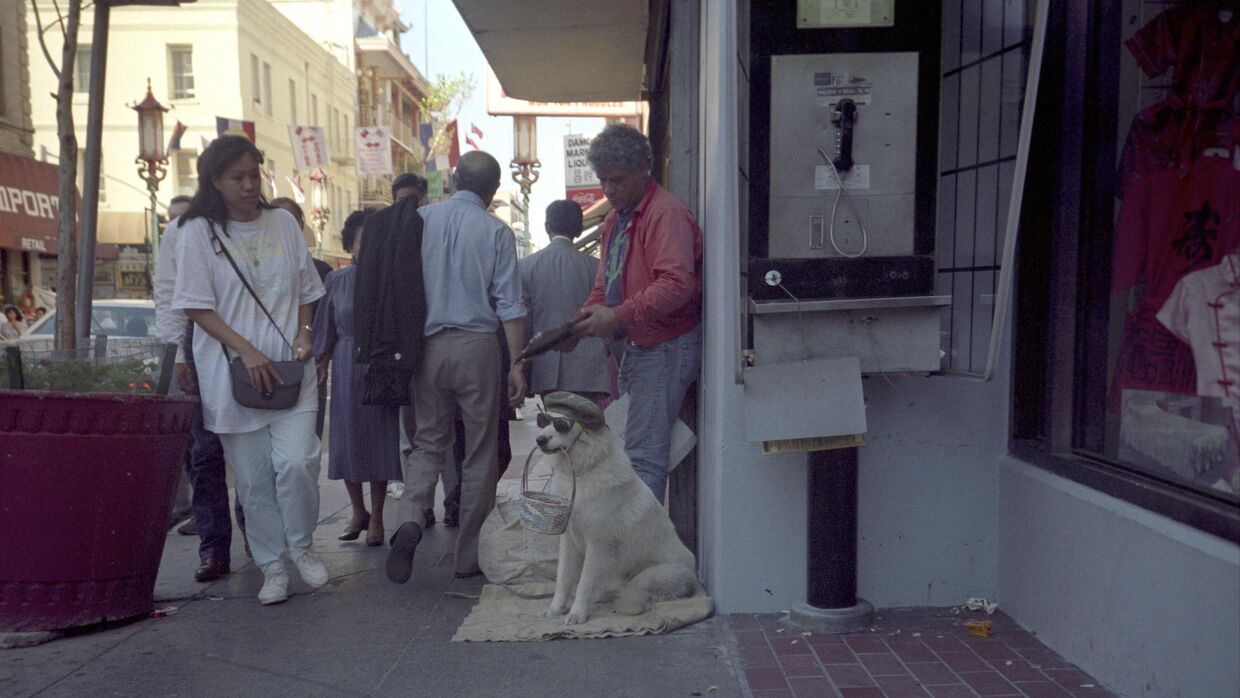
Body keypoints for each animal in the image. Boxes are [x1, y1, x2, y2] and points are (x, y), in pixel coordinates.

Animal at [538, 391, 704, 624]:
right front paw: (556, 609)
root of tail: (694, 573)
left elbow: (584, 583)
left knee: (643, 593)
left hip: (646, 577)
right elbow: (563, 579)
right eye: (543, 421)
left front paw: (577, 614)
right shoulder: (569, 540)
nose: (540, 440)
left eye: (562, 424)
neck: (583, 473)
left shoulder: (597, 546)